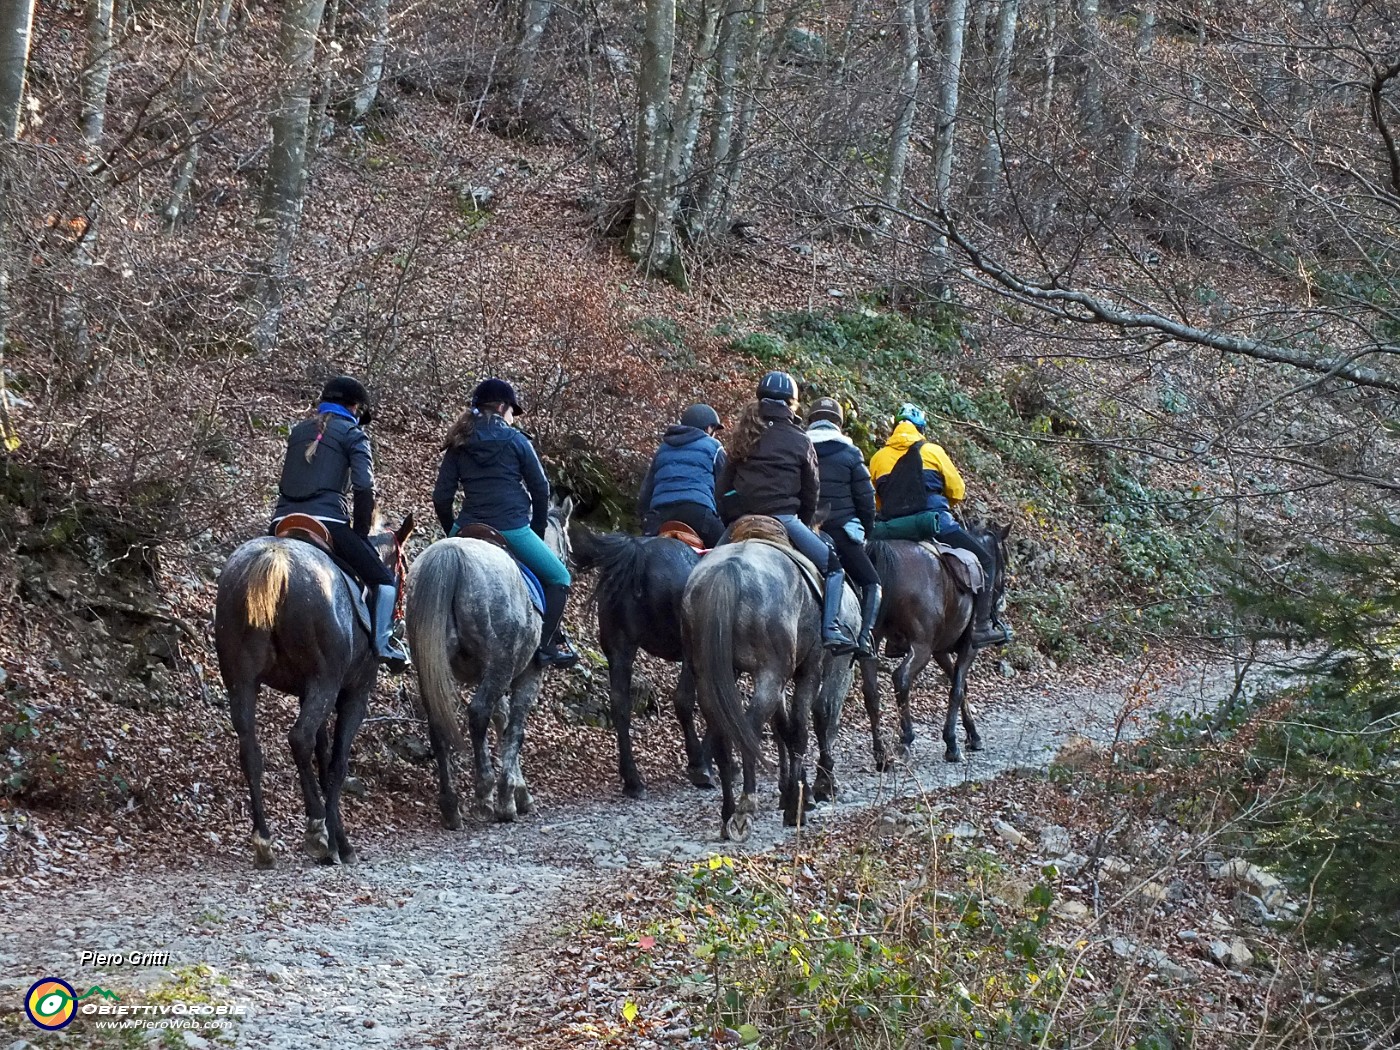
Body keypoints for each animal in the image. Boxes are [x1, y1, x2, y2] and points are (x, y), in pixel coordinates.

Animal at [211, 515, 408, 873]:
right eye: (404, 568)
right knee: (299, 738)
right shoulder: (353, 694)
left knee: (250, 751)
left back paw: (264, 841)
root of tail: (272, 559)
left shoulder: (306, 692)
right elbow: (335, 762)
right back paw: (317, 830)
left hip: (241, 682)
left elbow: (322, 756)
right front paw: (339, 843)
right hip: (325, 682)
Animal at [406, 498, 574, 828]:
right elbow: (515, 729)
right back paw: (484, 792)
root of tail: (450, 555)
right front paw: (510, 798)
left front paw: (517, 791)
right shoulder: (525, 675)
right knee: (478, 713)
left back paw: (451, 805)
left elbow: (502, 717)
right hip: (500, 666)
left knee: (439, 723)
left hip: (433, 668)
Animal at [565, 526, 716, 795]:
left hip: (619, 648)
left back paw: (632, 780)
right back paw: (698, 764)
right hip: (690, 652)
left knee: (620, 706)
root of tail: (638, 554)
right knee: (683, 701)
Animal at [680, 537, 862, 845]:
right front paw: (807, 797)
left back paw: (728, 813)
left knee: (724, 734)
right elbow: (809, 724)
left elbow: (785, 728)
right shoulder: (818, 670)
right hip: (772, 674)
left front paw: (796, 793)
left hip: (709, 676)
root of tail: (730, 569)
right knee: (751, 729)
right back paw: (745, 808)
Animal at [856, 523, 1013, 767]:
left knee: (871, 691)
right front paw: (952, 744)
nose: (1001, 599)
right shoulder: (969, 648)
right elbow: (957, 689)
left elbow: (961, 686)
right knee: (901, 678)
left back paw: (881, 755)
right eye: (1003, 559)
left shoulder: (940, 651)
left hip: (873, 640)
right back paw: (905, 740)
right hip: (921, 647)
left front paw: (973, 736)